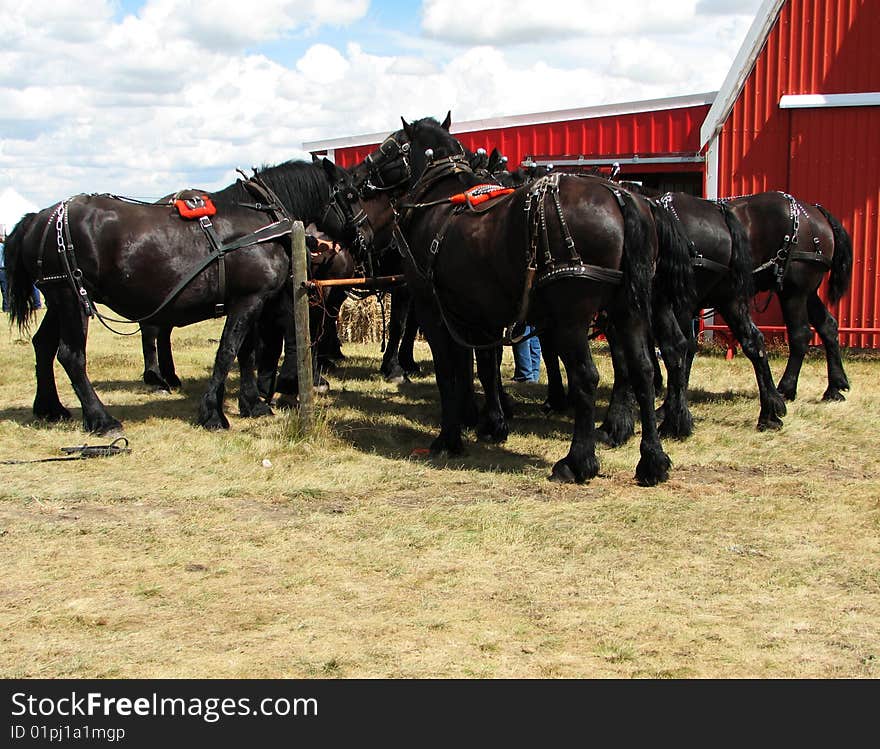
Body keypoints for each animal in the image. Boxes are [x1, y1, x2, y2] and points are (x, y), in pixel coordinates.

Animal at [6, 161, 372, 436]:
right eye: (350, 194)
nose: (366, 235)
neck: (259, 223)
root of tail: (42, 218)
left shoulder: (249, 301)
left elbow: (246, 354)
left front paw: (252, 404)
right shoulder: (249, 300)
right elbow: (227, 352)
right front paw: (213, 414)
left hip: (57, 298)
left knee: (43, 346)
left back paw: (50, 408)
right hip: (72, 299)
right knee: (71, 356)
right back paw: (101, 419)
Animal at [352, 112, 696, 486]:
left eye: (389, 146)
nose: (356, 178)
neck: (439, 202)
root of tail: (622, 198)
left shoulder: (434, 311)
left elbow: (449, 371)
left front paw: (450, 437)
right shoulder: (478, 314)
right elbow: (483, 367)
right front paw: (492, 423)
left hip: (573, 318)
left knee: (588, 377)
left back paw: (578, 460)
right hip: (629, 309)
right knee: (644, 369)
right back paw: (653, 460)